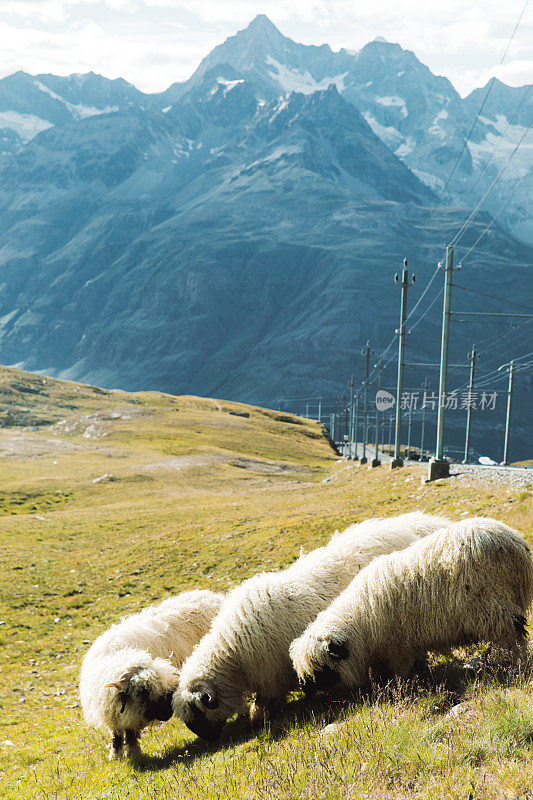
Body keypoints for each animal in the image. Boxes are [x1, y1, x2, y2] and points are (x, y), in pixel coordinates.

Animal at [80, 592, 224, 760]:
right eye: (143, 691)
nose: (168, 712)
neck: (118, 656)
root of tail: (211, 595)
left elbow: (130, 732)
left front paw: (133, 752)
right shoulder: (114, 712)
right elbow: (116, 734)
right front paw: (116, 755)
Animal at [171, 512, 448, 736]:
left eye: (198, 712)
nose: (207, 740)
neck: (233, 651)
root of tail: (407, 527)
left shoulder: (273, 673)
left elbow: (270, 700)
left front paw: (260, 716)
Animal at [290, 516, 532, 692]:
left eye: (320, 668)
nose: (307, 692)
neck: (361, 620)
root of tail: (513, 541)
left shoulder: (398, 646)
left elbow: (402, 671)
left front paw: (406, 683)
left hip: (494, 607)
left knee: (513, 637)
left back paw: (513, 665)